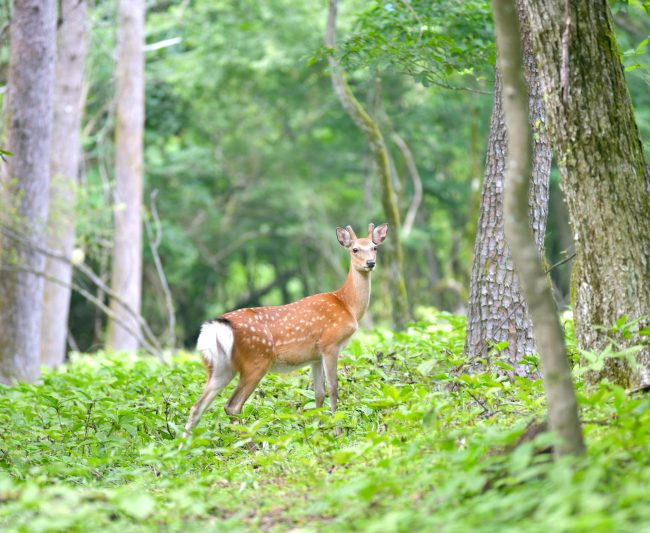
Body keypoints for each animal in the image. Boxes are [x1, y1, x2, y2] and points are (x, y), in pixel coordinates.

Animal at [180, 220, 388, 440]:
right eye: (355, 249)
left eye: (374, 247)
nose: (370, 263)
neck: (348, 305)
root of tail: (215, 329)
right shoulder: (330, 344)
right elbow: (333, 389)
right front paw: (337, 432)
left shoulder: (315, 356)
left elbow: (318, 393)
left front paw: (317, 431)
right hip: (256, 360)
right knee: (232, 406)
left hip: (220, 367)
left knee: (197, 407)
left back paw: (184, 445)